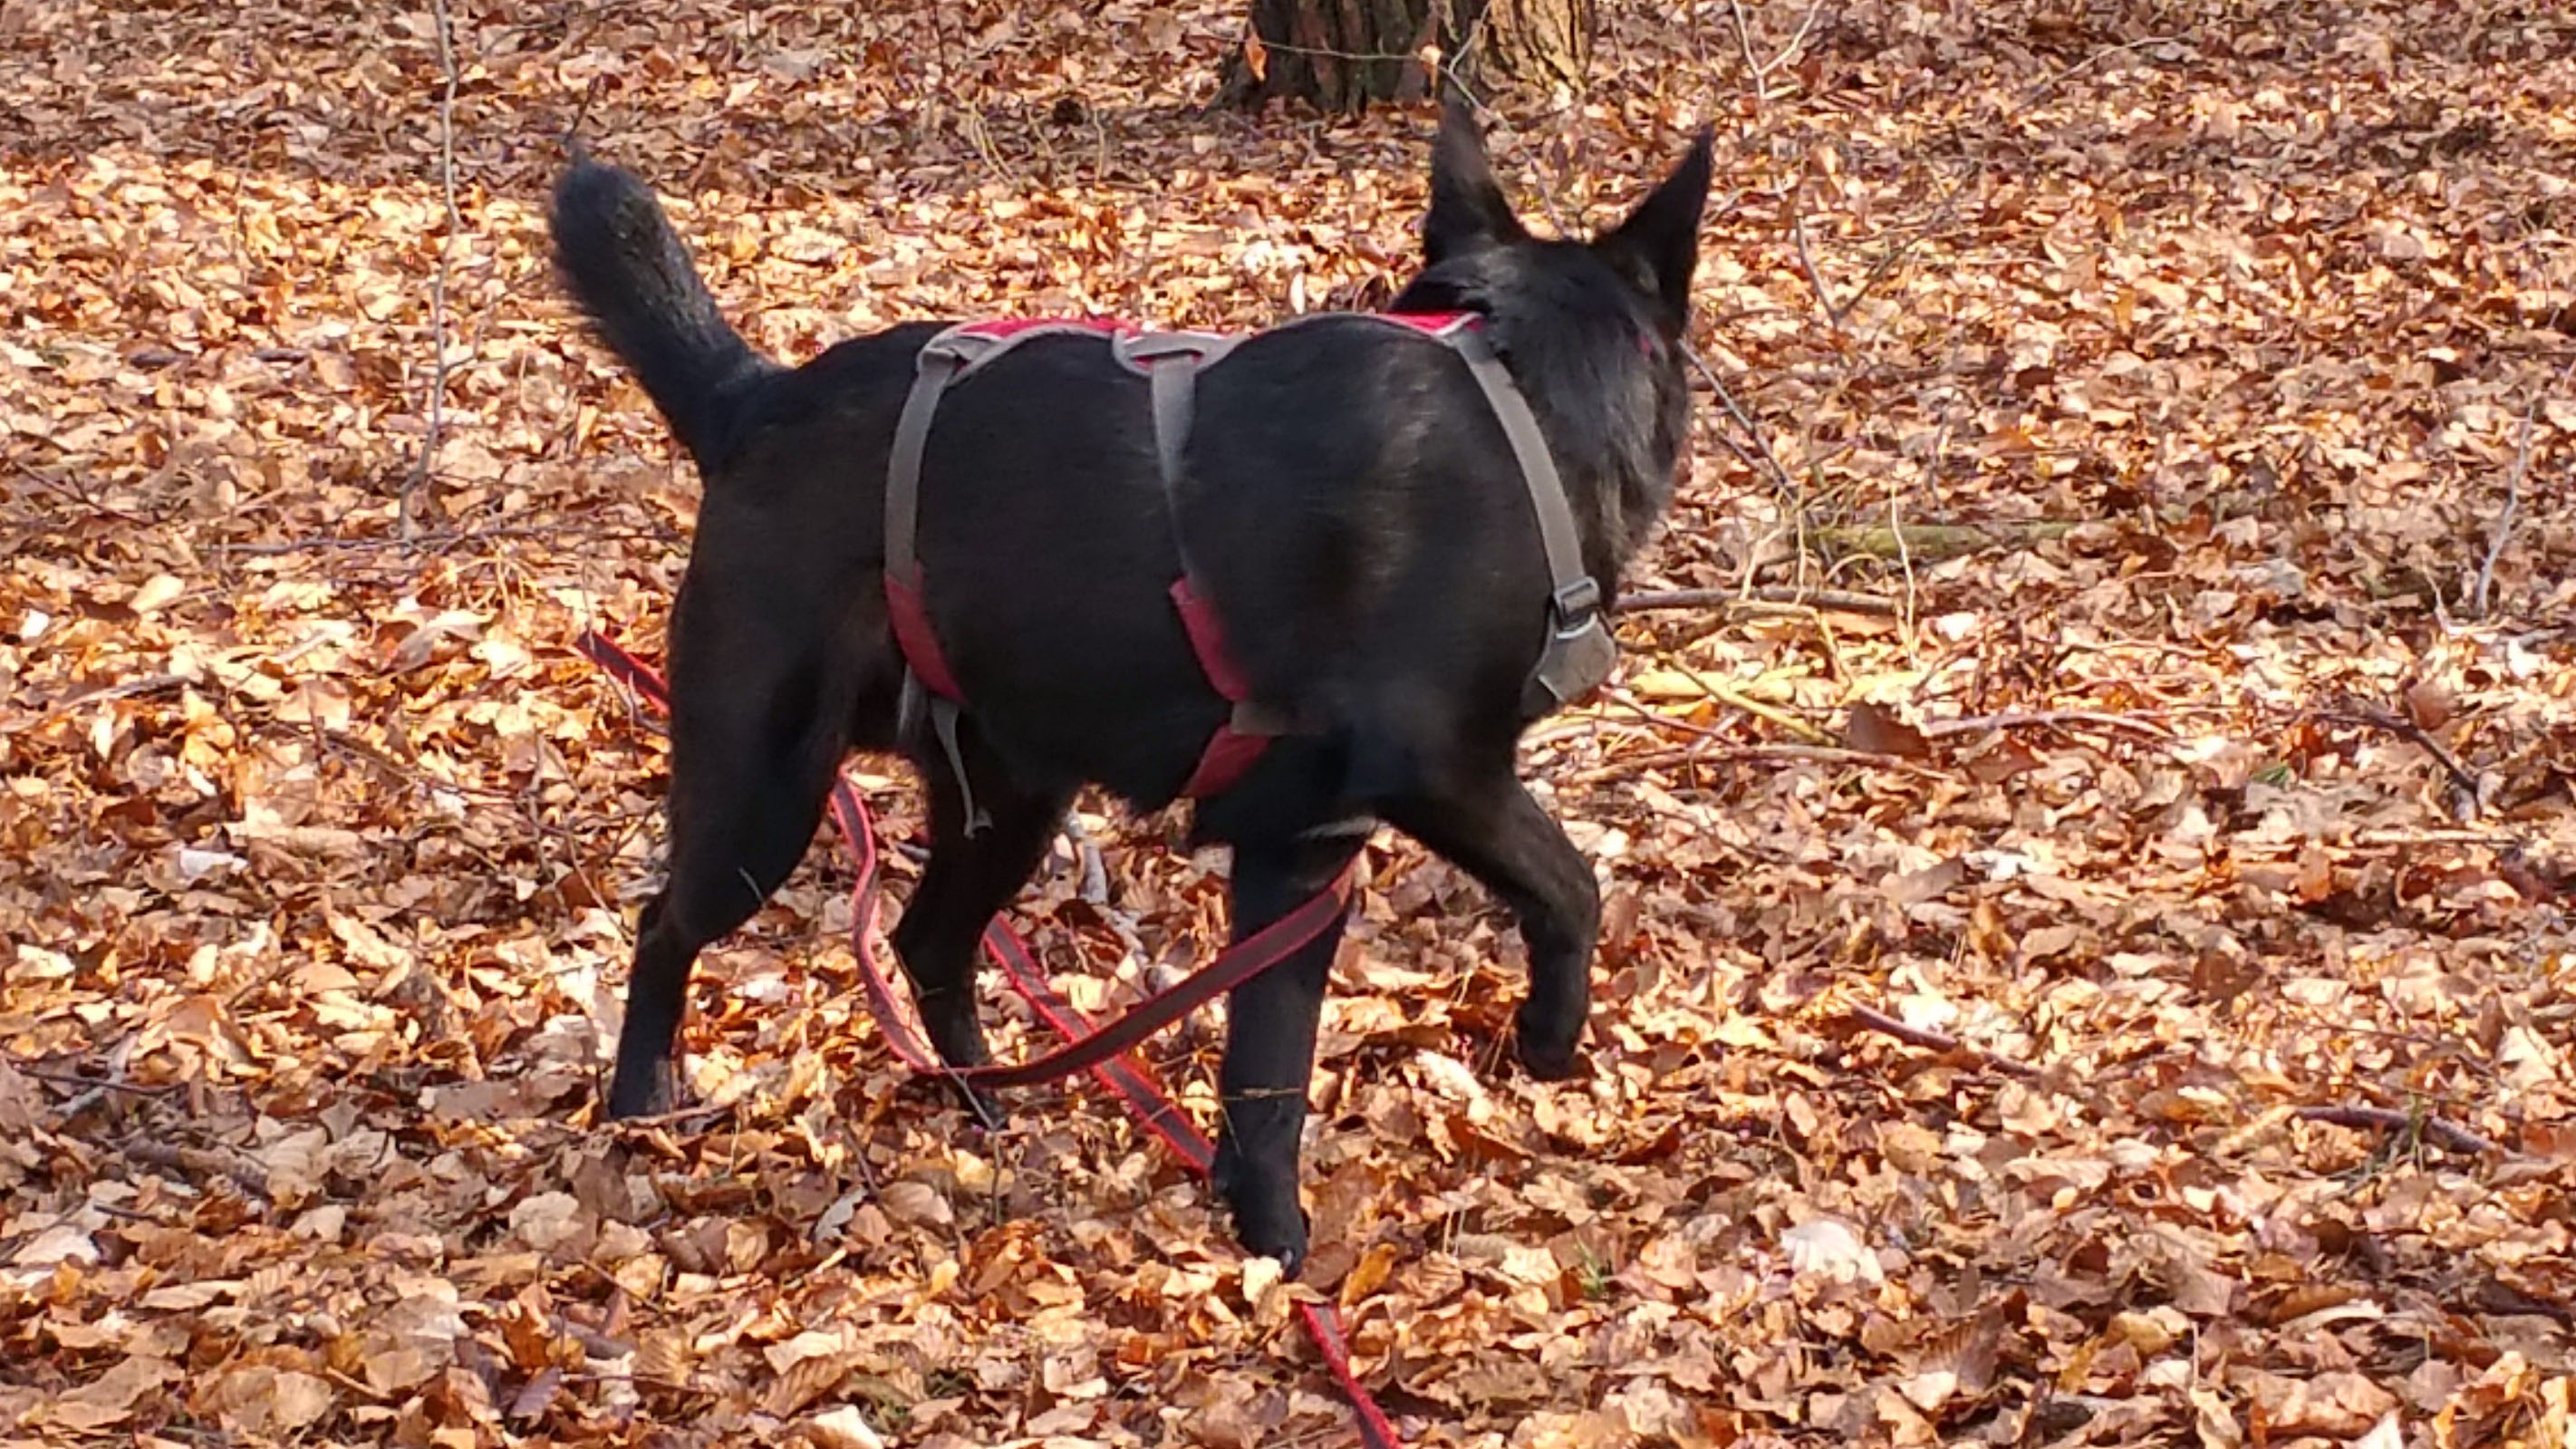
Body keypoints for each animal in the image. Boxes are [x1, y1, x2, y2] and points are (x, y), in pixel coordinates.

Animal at [545, 110, 1710, 1263]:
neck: (1511, 398)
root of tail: (756, 401)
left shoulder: (1298, 849)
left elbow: (1266, 1074)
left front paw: (1265, 1237)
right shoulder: (1441, 770)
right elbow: (1570, 885)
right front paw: (1548, 1037)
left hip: (1006, 801)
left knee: (927, 940)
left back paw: (979, 1098)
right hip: (766, 796)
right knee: (665, 928)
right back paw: (645, 1101)